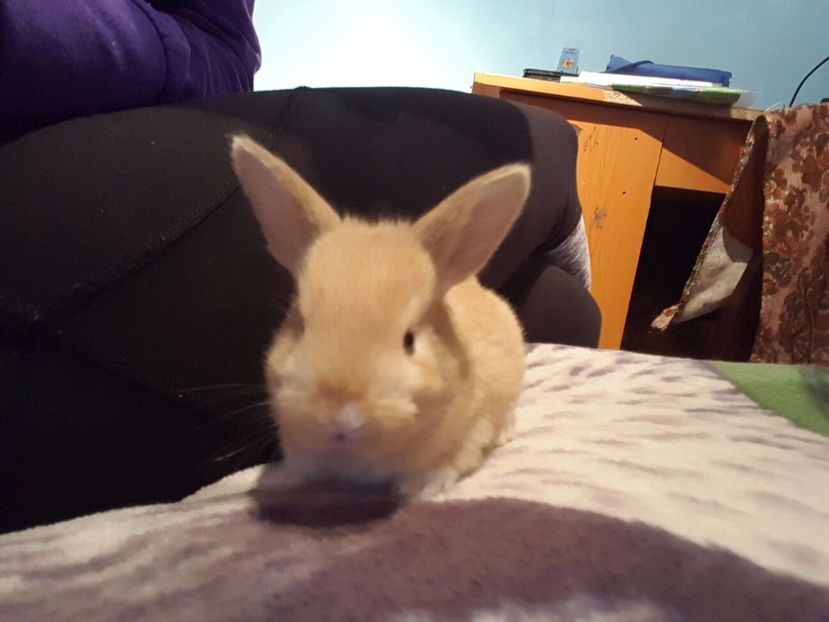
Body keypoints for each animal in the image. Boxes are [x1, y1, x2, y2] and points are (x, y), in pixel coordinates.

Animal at [231, 135, 529, 499]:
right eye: (300, 324)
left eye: (409, 340)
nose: (340, 415)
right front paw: (280, 480)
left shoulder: (475, 423)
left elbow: (455, 456)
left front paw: (421, 486)